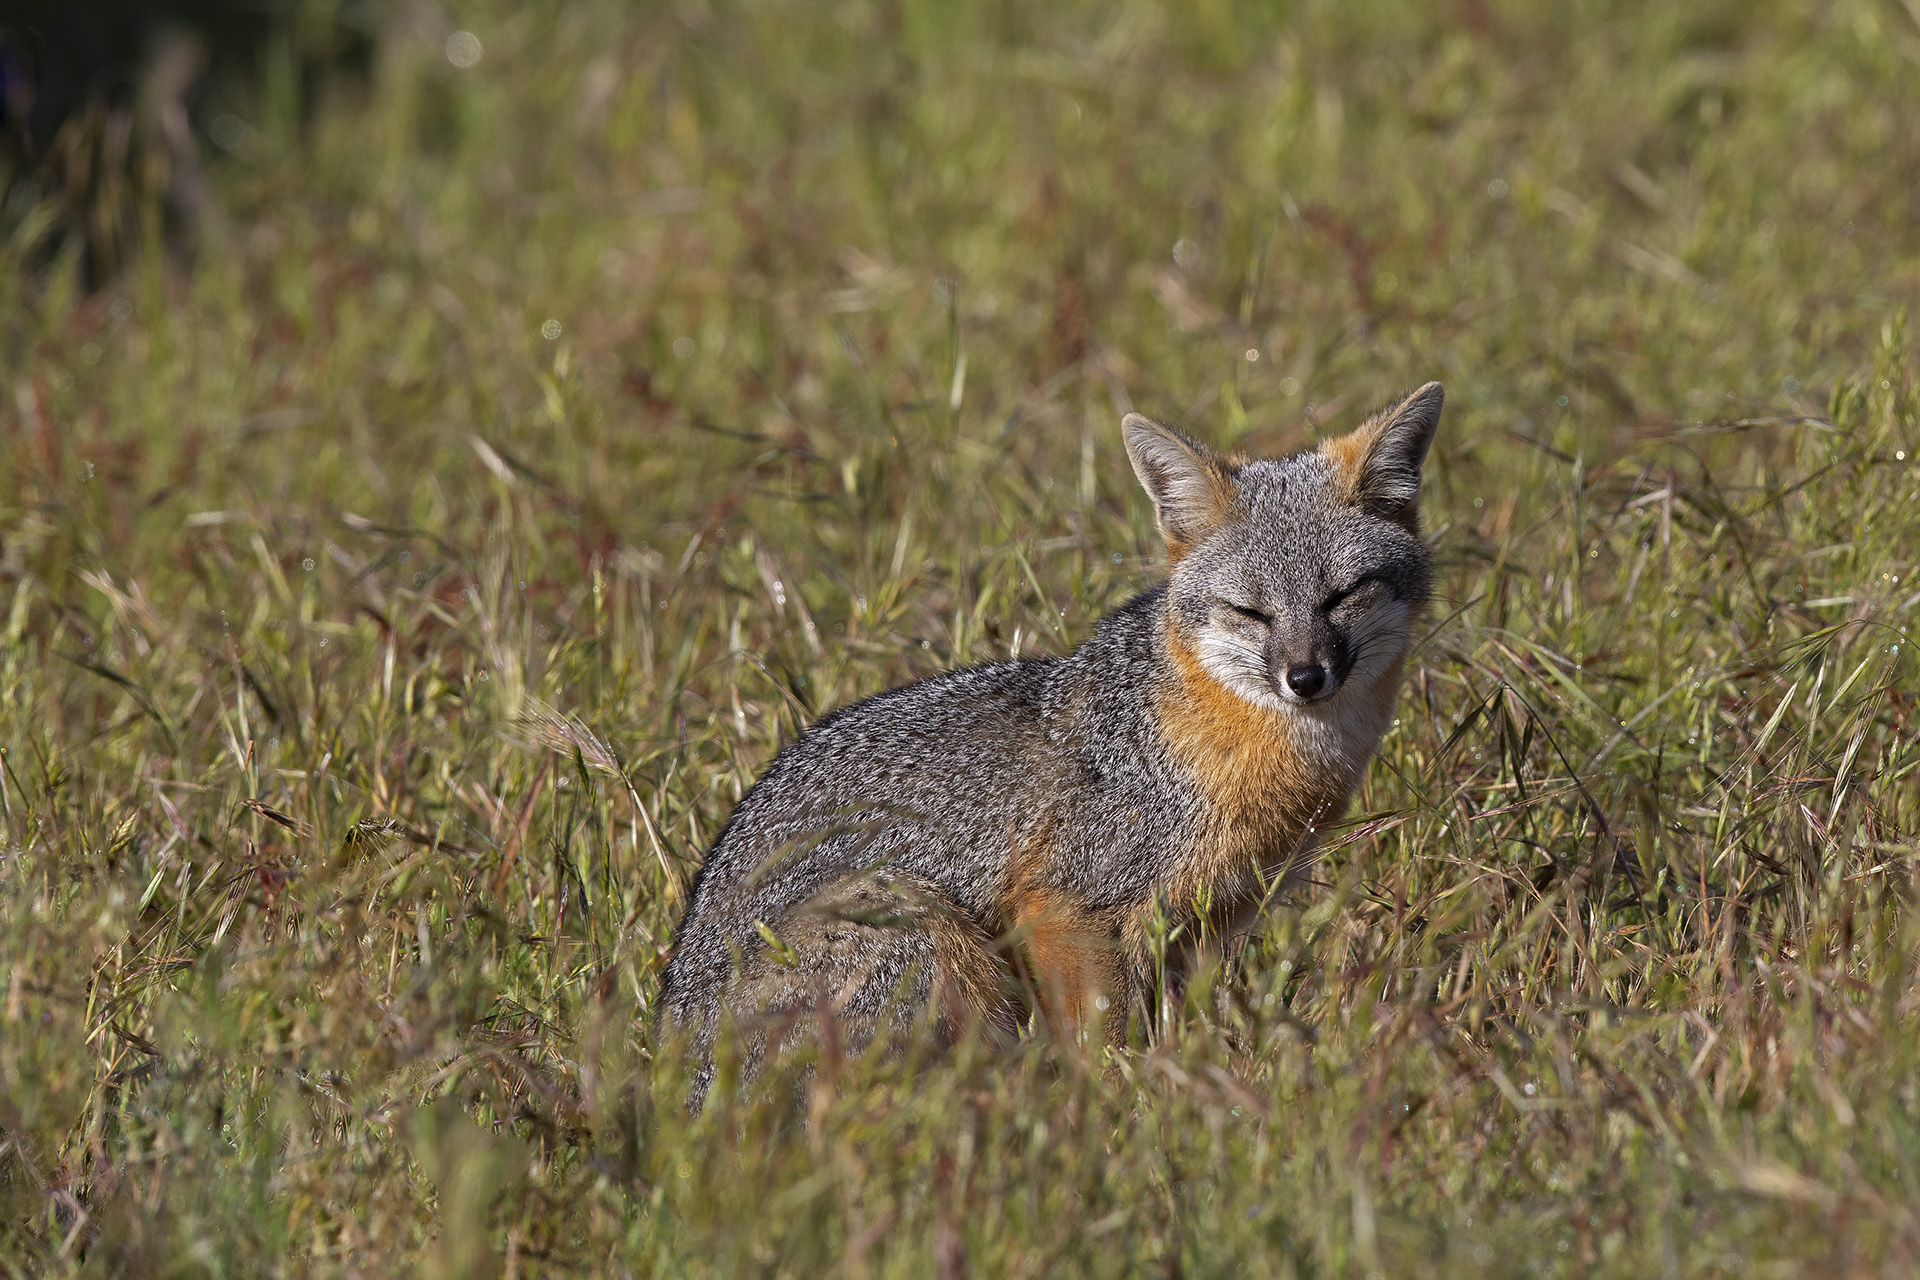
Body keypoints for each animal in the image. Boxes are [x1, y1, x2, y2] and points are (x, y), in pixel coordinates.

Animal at [661, 381, 1444, 1100]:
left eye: (1343, 595)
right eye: (1250, 612)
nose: (1305, 678)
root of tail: (679, 1075)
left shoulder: (1192, 931)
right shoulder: (1067, 905)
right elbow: (1102, 1038)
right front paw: (1115, 1110)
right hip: (921, 922)